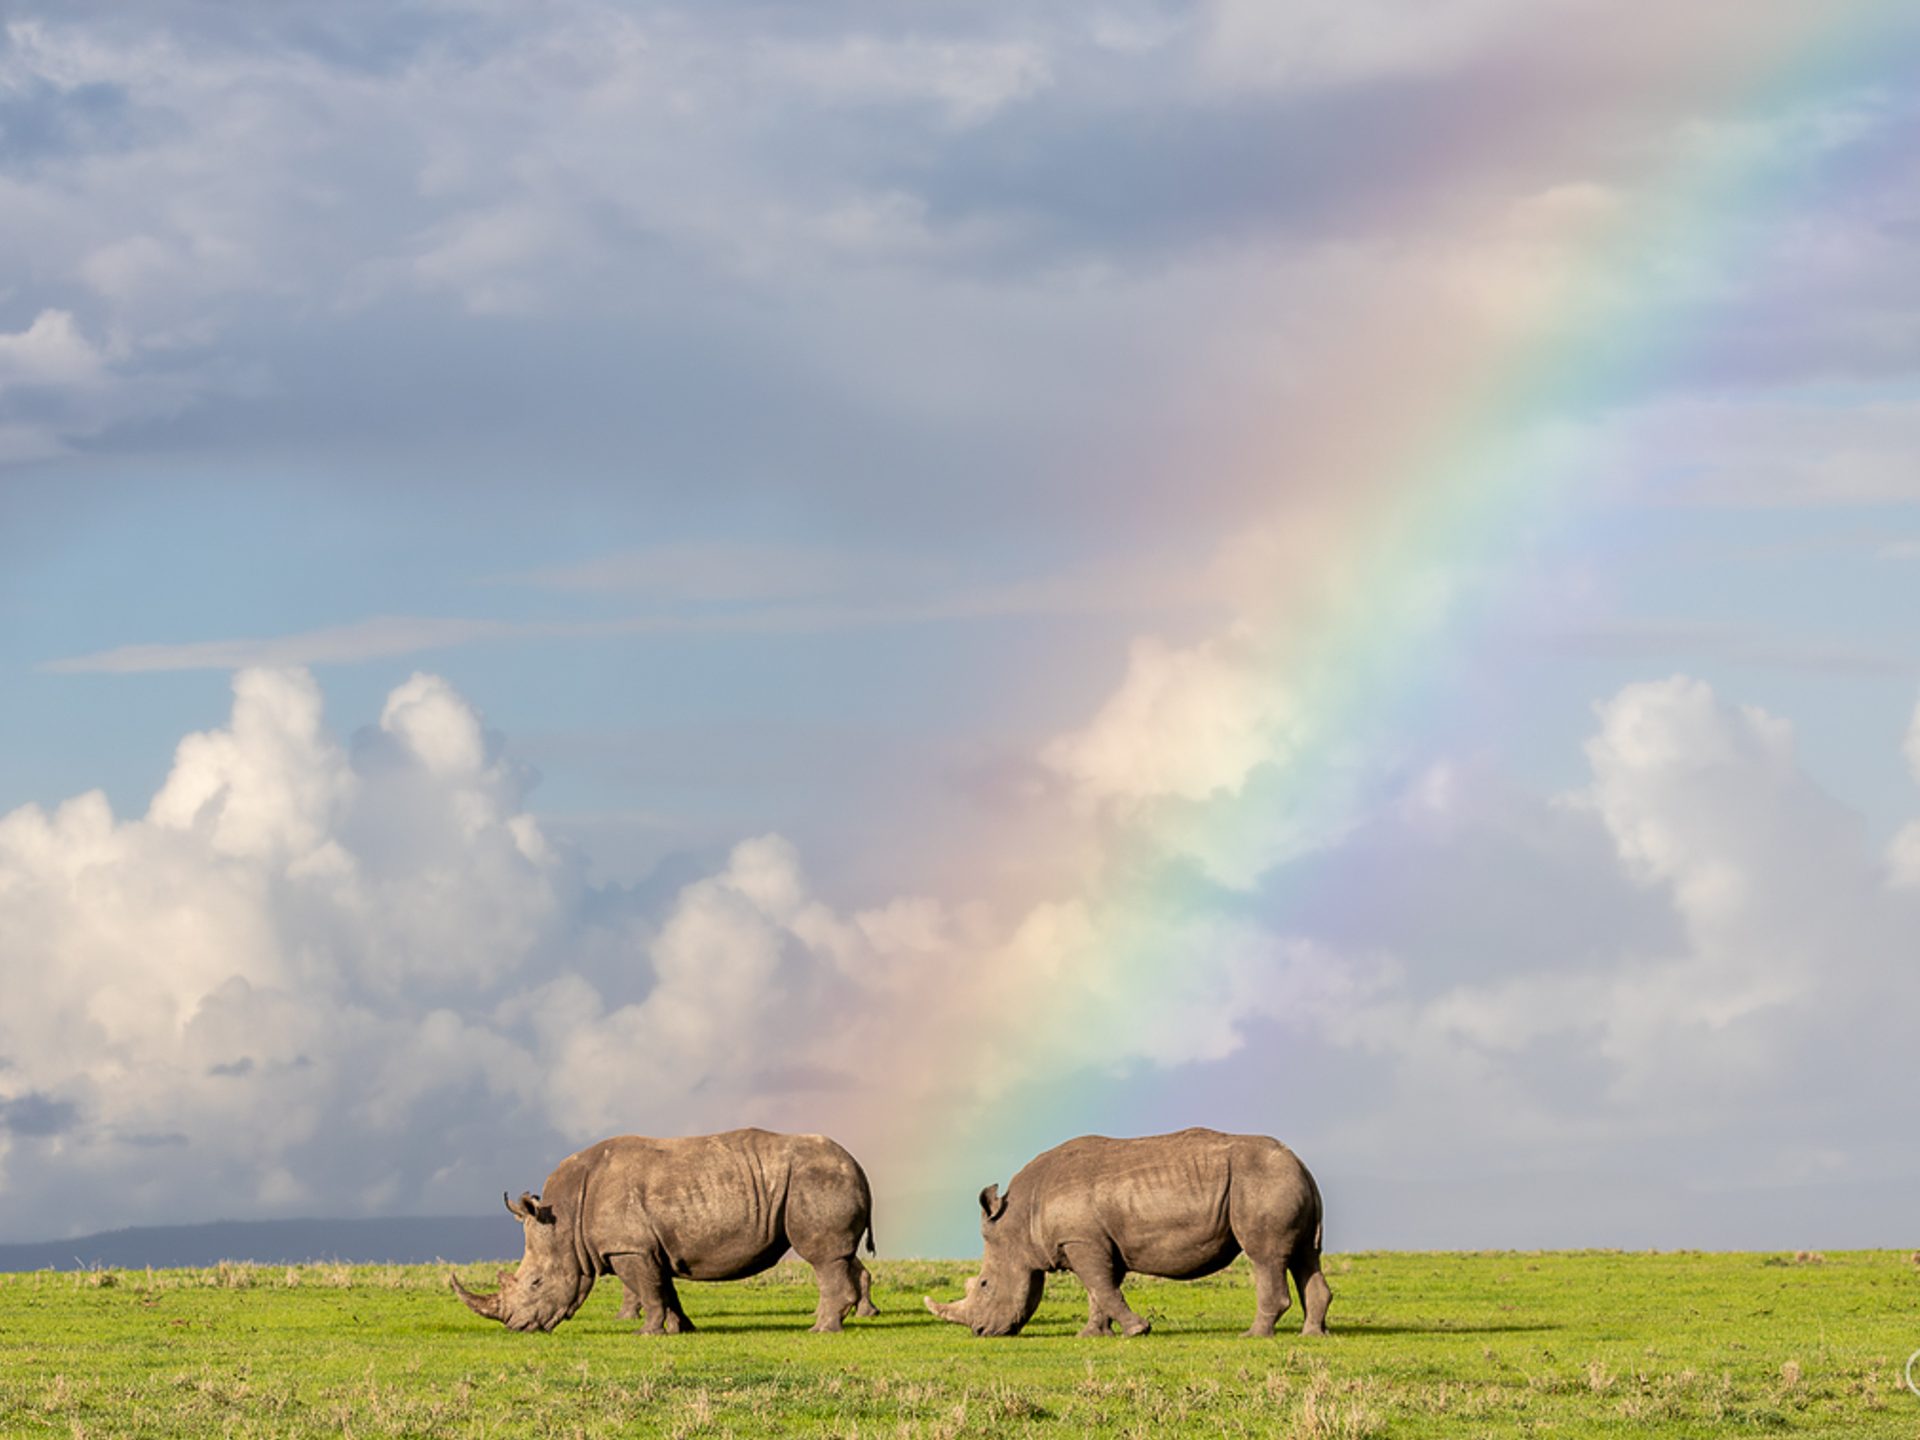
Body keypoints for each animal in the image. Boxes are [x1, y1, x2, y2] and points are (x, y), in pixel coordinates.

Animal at [449, 1128, 879, 1335]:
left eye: (536, 1282)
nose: (518, 1327)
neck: (566, 1220)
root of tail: (857, 1163)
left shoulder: (628, 1248)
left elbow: (648, 1290)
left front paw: (647, 1333)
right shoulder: (649, 1248)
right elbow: (664, 1289)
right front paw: (681, 1329)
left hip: (816, 1178)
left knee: (824, 1258)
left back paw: (820, 1330)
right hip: (820, 1177)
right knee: (839, 1256)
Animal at [923, 1127, 1329, 1338]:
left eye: (985, 1285)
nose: (979, 1332)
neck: (1020, 1219)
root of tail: (1299, 1162)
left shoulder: (1082, 1241)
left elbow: (1102, 1288)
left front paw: (1137, 1330)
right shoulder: (1095, 1241)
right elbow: (1099, 1291)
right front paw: (1091, 1335)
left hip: (1260, 1181)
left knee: (1264, 1257)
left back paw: (1253, 1336)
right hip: (1281, 1181)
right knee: (1305, 1256)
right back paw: (1313, 1334)